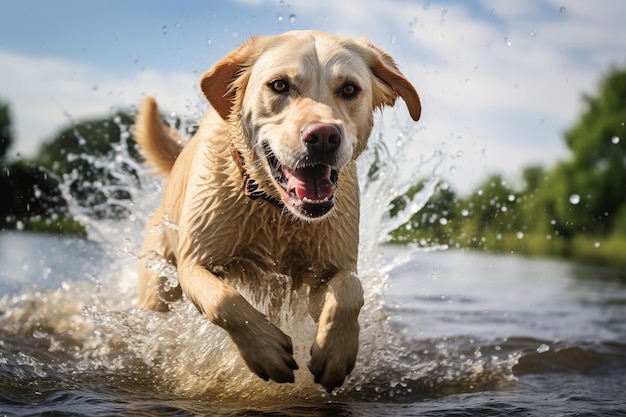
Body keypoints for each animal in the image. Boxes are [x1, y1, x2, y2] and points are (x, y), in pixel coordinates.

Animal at [135, 29, 422, 390]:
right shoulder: (194, 264)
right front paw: (266, 350)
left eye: (349, 89)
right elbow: (224, 300)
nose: (323, 136)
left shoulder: (331, 267)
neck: (276, 209)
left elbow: (350, 290)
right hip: (159, 283)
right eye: (280, 85)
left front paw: (335, 352)